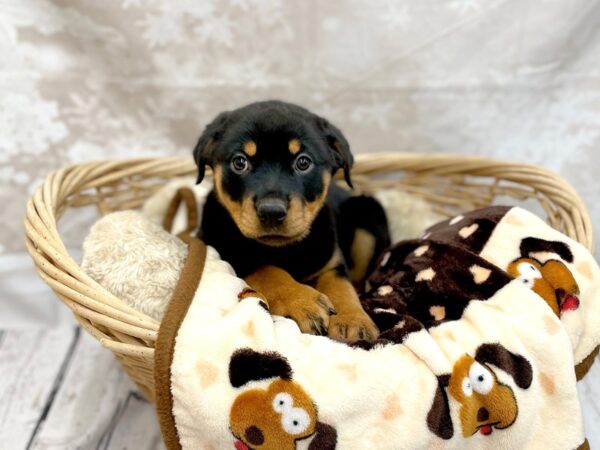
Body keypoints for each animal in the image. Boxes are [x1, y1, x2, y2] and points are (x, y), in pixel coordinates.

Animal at [192, 100, 390, 342]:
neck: (283, 249)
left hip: (368, 213)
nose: (271, 211)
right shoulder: (227, 248)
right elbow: (267, 269)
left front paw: (353, 320)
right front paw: (304, 302)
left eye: (303, 162)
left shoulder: (331, 260)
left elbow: (342, 286)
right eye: (240, 162)